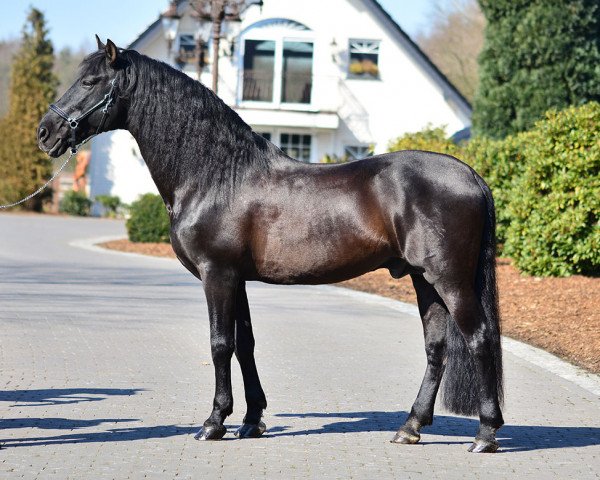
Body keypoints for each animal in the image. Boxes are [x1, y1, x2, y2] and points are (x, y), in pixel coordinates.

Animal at [39, 38, 504, 454]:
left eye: (91, 81)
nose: (46, 132)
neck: (215, 175)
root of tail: (470, 175)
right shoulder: (237, 279)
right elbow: (244, 344)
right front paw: (251, 420)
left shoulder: (217, 275)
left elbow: (220, 344)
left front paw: (214, 423)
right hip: (425, 281)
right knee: (437, 347)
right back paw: (411, 426)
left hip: (450, 280)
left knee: (480, 338)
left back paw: (485, 433)